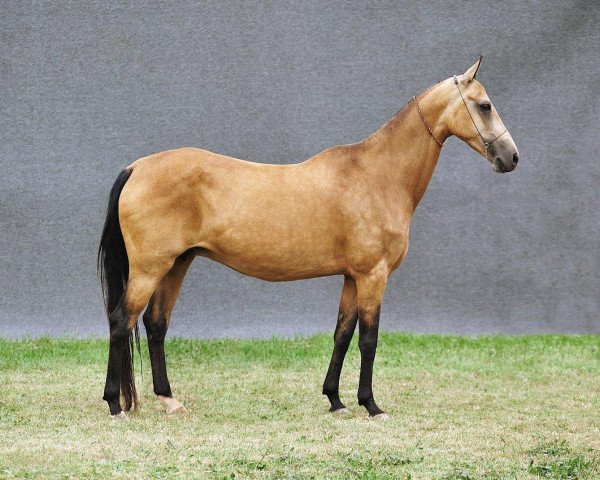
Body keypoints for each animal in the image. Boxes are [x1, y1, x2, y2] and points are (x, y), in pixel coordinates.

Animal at [98, 56, 520, 418]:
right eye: (484, 105)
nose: (511, 157)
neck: (377, 174)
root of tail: (137, 167)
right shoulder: (373, 275)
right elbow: (368, 339)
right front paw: (372, 405)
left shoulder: (352, 277)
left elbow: (342, 334)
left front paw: (336, 400)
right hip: (149, 269)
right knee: (121, 321)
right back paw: (115, 404)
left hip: (177, 265)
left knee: (155, 324)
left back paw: (169, 400)